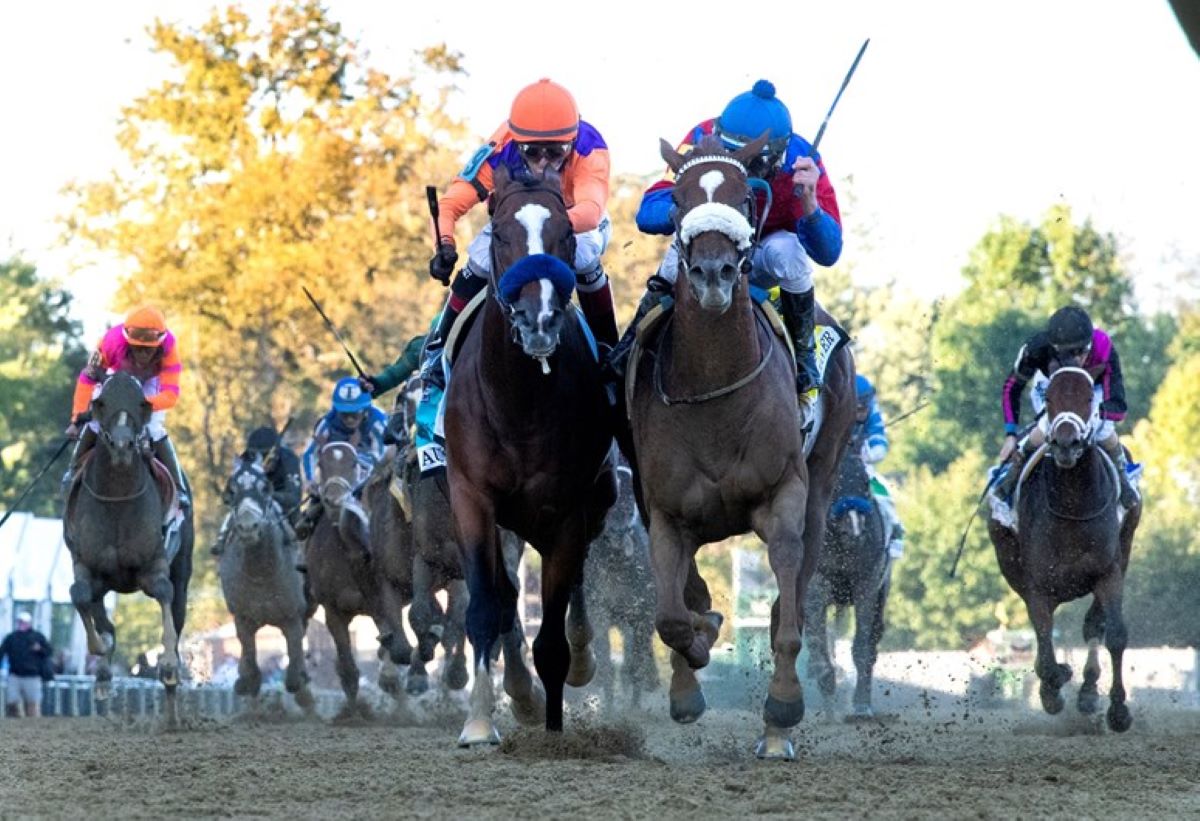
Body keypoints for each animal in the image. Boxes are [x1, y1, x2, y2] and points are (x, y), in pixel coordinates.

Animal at [63, 372, 193, 724]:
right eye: (102, 403)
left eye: (141, 403)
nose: (122, 445)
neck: (118, 496)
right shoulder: (86, 565)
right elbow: (79, 595)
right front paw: (100, 652)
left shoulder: (154, 565)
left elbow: (163, 592)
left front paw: (169, 665)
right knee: (95, 607)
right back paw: (104, 675)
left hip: (183, 570)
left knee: (177, 609)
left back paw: (173, 710)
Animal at [218, 456, 316, 710]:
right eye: (232, 490)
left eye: (264, 488)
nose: (247, 527)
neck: (260, 572)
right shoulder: (243, 617)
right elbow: (250, 667)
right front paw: (244, 679)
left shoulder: (292, 617)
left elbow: (293, 676)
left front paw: (303, 687)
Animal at [444, 165, 619, 744]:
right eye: (500, 234)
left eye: (565, 234)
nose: (537, 320)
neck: (518, 402)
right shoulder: (472, 498)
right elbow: (484, 607)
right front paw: (480, 722)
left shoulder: (566, 508)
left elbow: (554, 639)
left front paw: (554, 731)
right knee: (504, 599)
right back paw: (518, 693)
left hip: (595, 501)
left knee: (576, 587)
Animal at [628, 134, 854, 758]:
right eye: (678, 200)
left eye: (745, 198)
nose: (712, 273)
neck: (713, 388)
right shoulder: (662, 510)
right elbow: (672, 614)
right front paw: (694, 663)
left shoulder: (783, 494)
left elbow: (787, 603)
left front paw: (783, 708)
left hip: (823, 479)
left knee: (792, 588)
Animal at [988, 364, 1137, 729]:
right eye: (1049, 399)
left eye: (1088, 398)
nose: (1067, 443)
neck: (1073, 504)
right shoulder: (1038, 584)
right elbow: (1043, 637)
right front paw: (1054, 686)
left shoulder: (1109, 573)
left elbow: (1114, 634)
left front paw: (1118, 710)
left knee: (1093, 625)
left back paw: (1088, 691)